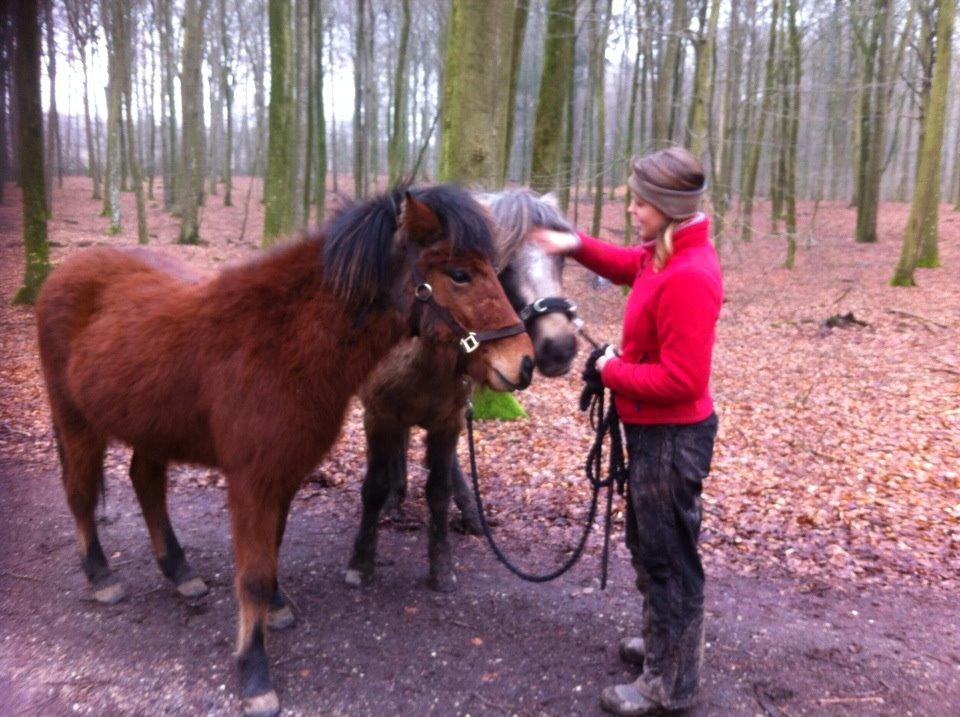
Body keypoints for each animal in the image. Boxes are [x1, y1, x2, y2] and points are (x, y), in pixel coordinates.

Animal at [35, 186, 532, 716]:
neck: (282, 342)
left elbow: (271, 551)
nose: (523, 363)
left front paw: (275, 610)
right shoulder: (252, 482)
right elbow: (253, 573)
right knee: (80, 494)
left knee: (146, 484)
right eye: (459, 274)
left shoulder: (286, 474)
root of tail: (61, 274)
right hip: (76, 422)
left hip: (151, 429)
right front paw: (254, 674)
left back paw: (180, 571)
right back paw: (102, 577)